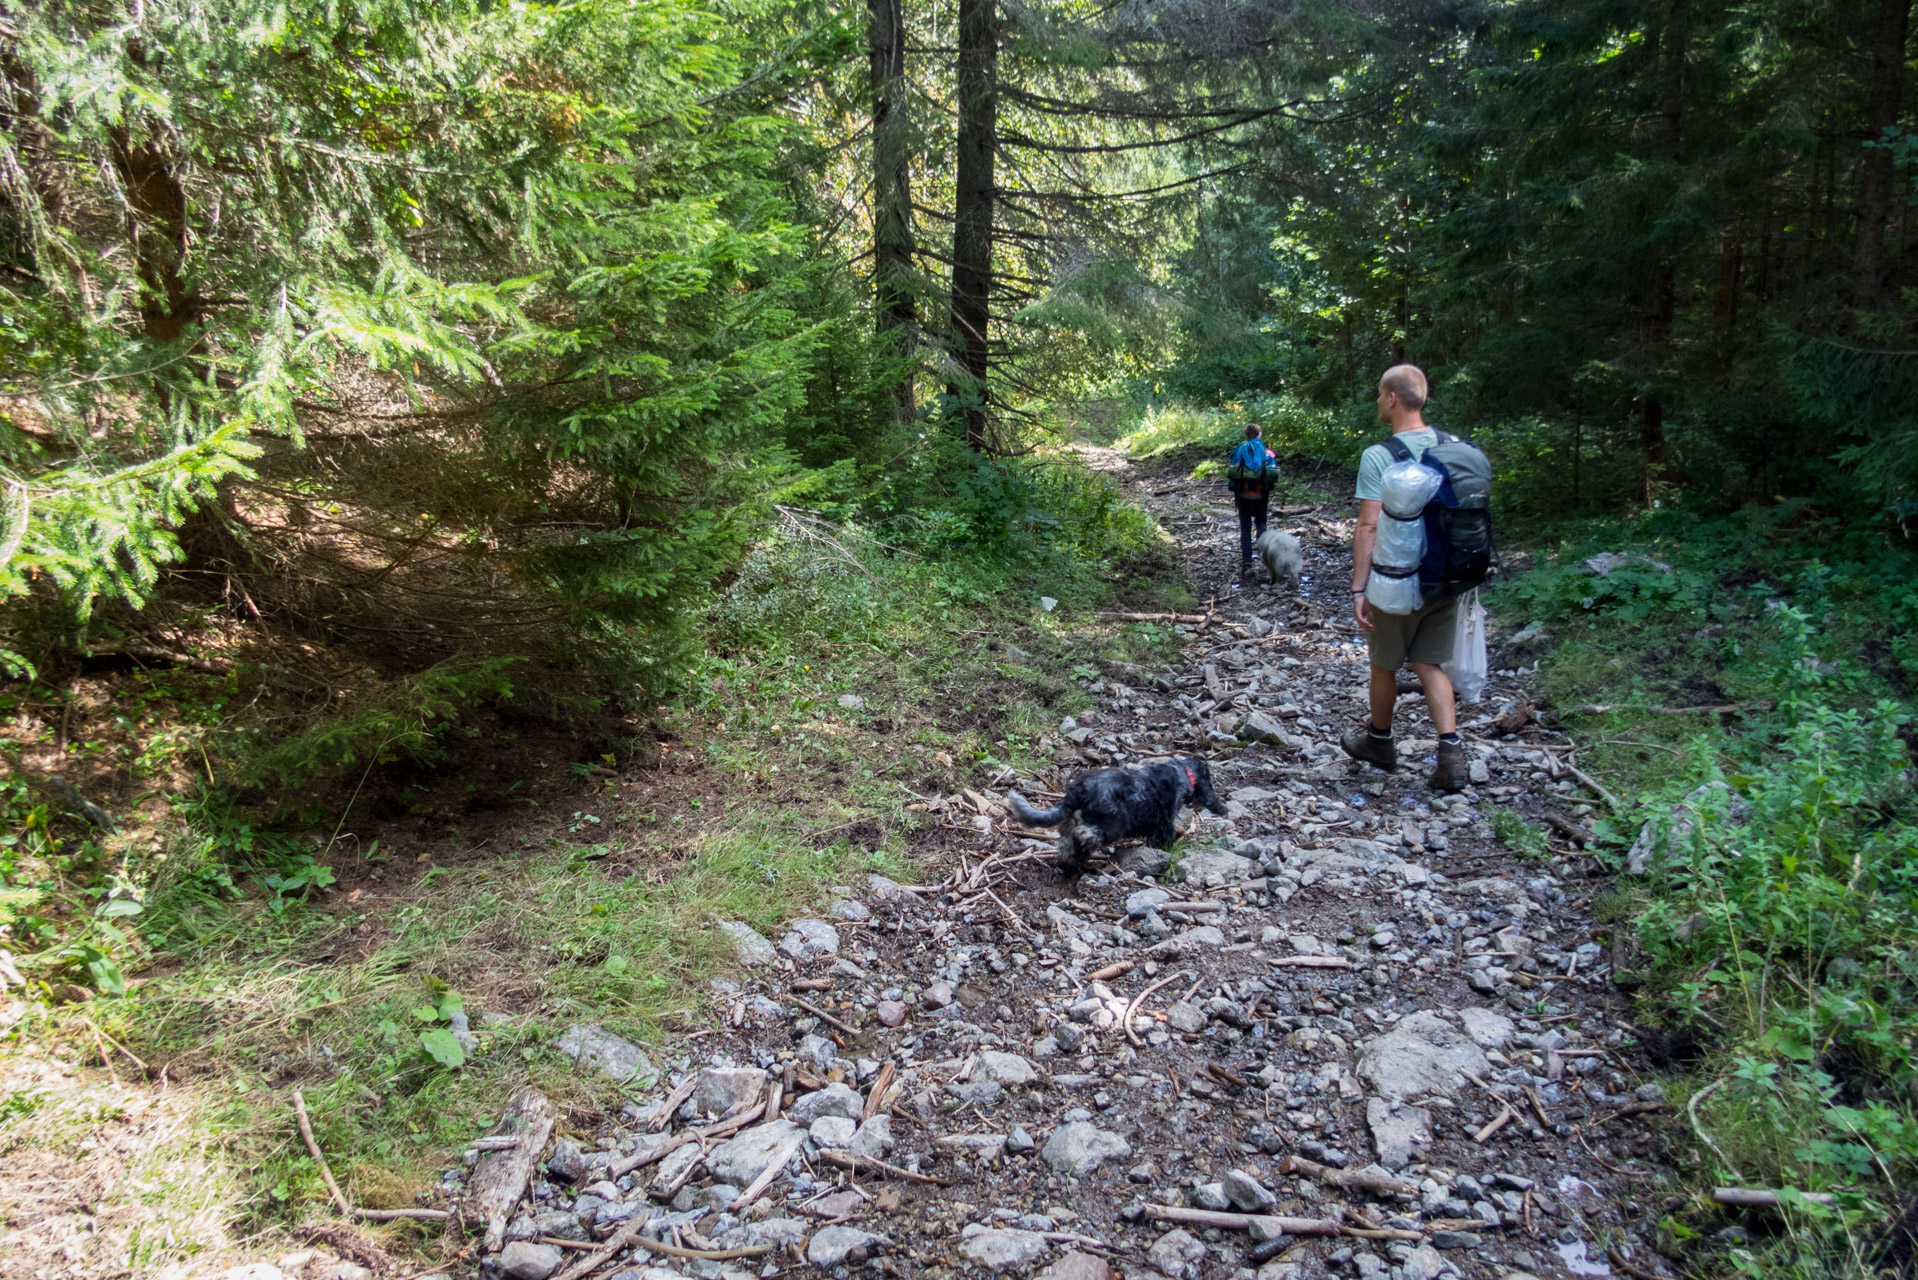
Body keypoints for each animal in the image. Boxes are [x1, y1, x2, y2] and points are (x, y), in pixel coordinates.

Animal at [1005, 759, 1227, 882]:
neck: (1183, 771)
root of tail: (1079, 790)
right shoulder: (1163, 822)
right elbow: (1162, 839)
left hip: (1070, 822)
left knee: (1066, 844)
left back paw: (1070, 863)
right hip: (1112, 825)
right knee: (1085, 835)